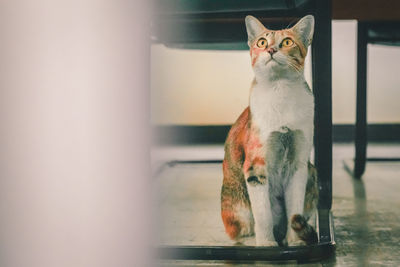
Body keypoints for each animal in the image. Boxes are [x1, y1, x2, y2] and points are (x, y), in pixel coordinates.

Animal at [220, 15, 318, 248]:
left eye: (287, 42)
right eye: (262, 42)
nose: (271, 49)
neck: (279, 90)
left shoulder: (298, 164)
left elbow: (294, 208)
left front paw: (295, 241)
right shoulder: (255, 166)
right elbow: (263, 214)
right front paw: (266, 245)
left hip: (312, 173)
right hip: (238, 207)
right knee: (242, 231)